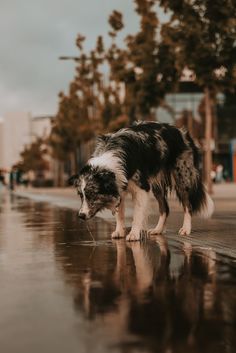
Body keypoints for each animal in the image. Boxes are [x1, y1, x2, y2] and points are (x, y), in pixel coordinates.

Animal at [68, 121, 214, 239]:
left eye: (92, 194)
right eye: (81, 196)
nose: (81, 215)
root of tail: (184, 133)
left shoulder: (141, 188)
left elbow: (137, 213)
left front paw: (134, 233)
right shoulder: (120, 186)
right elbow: (119, 213)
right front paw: (120, 231)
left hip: (182, 177)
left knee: (188, 205)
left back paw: (186, 228)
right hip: (157, 185)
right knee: (165, 208)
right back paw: (158, 229)